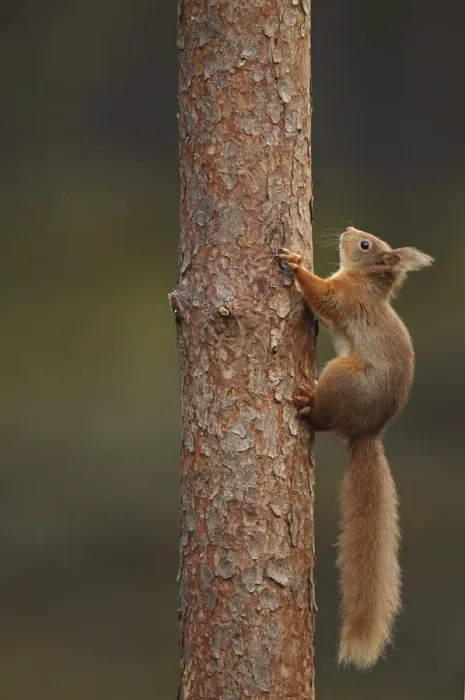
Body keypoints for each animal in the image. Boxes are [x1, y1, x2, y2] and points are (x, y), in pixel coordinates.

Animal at [278, 226, 433, 670]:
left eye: (366, 245)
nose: (348, 230)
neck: (365, 281)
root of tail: (368, 431)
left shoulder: (346, 298)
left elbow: (322, 296)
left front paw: (296, 265)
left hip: (341, 374)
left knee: (324, 420)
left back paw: (308, 404)